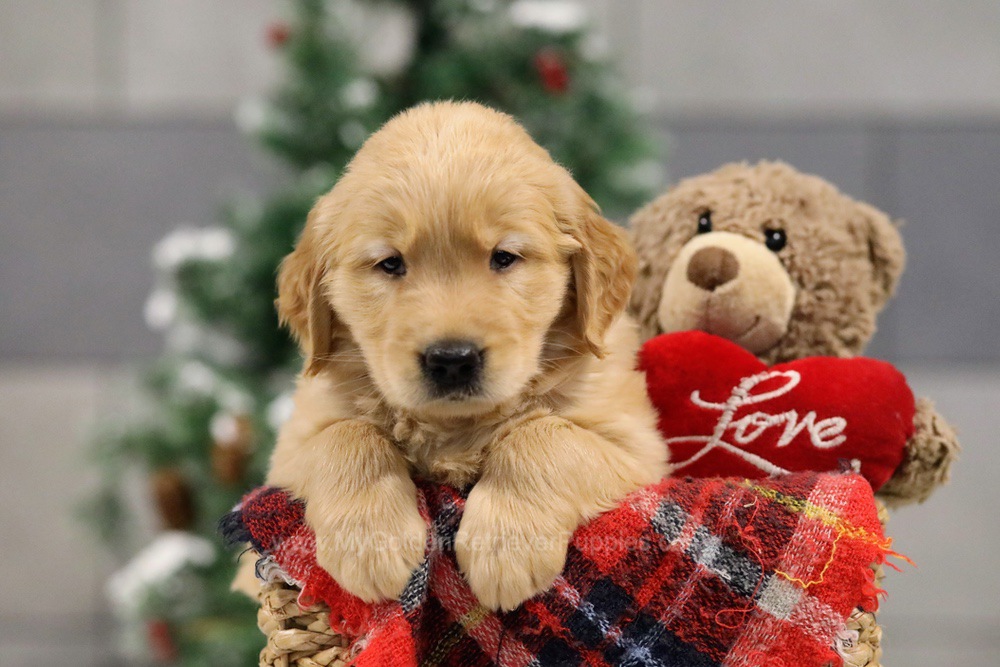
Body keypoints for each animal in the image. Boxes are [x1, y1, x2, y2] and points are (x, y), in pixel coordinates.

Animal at [270, 102, 668, 612]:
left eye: (505, 257)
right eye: (390, 263)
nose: (452, 360)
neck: (453, 428)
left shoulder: (638, 449)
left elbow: (543, 436)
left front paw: (505, 545)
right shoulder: (286, 453)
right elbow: (346, 436)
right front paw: (370, 543)